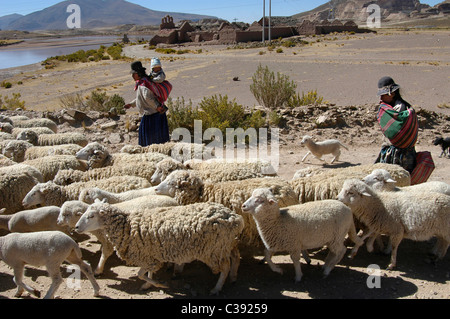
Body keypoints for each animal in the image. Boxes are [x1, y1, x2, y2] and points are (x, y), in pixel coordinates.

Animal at [74, 200, 243, 296]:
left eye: (91, 216)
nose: (76, 227)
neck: (127, 226)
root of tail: (234, 218)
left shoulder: (146, 255)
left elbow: (140, 274)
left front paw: (159, 284)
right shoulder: (151, 254)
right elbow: (147, 272)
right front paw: (148, 284)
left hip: (214, 249)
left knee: (225, 267)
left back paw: (217, 288)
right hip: (227, 244)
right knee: (235, 257)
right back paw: (234, 277)